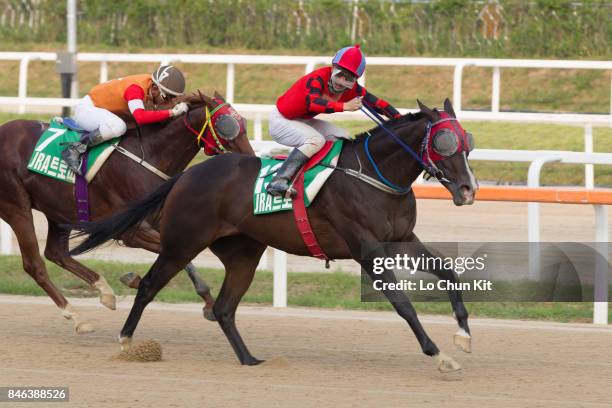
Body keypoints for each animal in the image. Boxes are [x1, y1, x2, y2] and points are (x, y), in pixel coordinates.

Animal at [0, 91, 253, 334]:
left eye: (244, 123)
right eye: (226, 124)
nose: (250, 159)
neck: (149, 156)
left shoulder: (159, 222)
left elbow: (183, 258)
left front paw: (208, 303)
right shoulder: (132, 231)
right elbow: (179, 257)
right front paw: (136, 280)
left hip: (57, 207)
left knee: (56, 253)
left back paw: (104, 292)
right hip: (17, 206)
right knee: (34, 264)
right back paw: (77, 317)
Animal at [69, 99, 476, 372]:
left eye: (467, 142)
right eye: (444, 143)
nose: (469, 190)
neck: (375, 175)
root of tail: (186, 175)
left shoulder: (402, 238)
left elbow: (449, 273)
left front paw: (464, 335)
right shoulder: (368, 250)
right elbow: (402, 303)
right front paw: (439, 354)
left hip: (242, 253)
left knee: (224, 308)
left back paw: (249, 359)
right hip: (182, 243)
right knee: (150, 285)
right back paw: (126, 340)